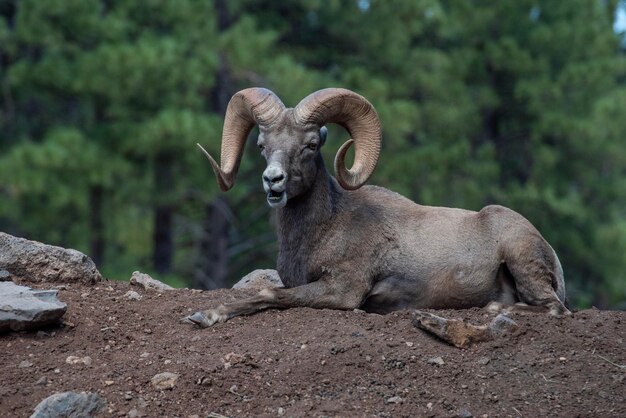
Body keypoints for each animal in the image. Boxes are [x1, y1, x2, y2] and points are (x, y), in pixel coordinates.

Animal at [189, 88, 564, 328]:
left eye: (310, 145)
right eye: (262, 146)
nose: (273, 181)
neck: (325, 227)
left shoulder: (343, 290)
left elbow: (268, 292)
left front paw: (206, 315)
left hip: (523, 260)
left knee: (555, 309)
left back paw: (494, 307)